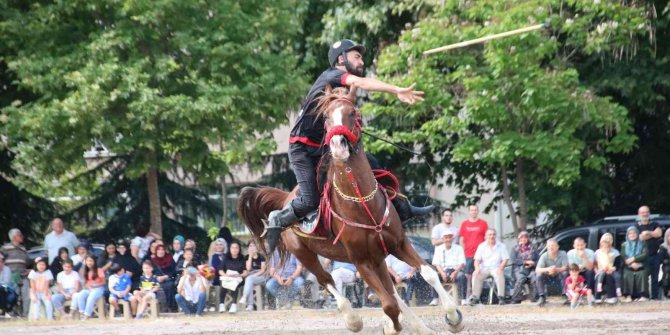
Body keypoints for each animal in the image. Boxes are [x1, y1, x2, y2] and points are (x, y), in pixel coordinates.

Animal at [239, 87, 464, 335]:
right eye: (325, 117)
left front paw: (454, 318)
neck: (361, 203)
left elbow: (429, 274)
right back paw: (353, 319)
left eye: (353, 112)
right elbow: (388, 304)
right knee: (327, 279)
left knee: (391, 289)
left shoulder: (398, 244)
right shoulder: (360, 261)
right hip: (304, 254)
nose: (338, 145)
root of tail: (286, 199)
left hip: (379, 257)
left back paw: (420, 327)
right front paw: (392, 326)